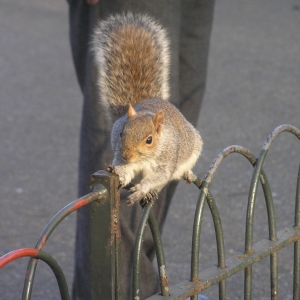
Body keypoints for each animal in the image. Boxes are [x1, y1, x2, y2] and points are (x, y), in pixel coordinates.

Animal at [92, 12, 203, 205]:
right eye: (121, 133)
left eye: (149, 140)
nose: (126, 156)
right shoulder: (125, 160)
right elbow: (125, 172)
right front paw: (119, 174)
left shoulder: (165, 163)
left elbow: (158, 178)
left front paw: (142, 189)